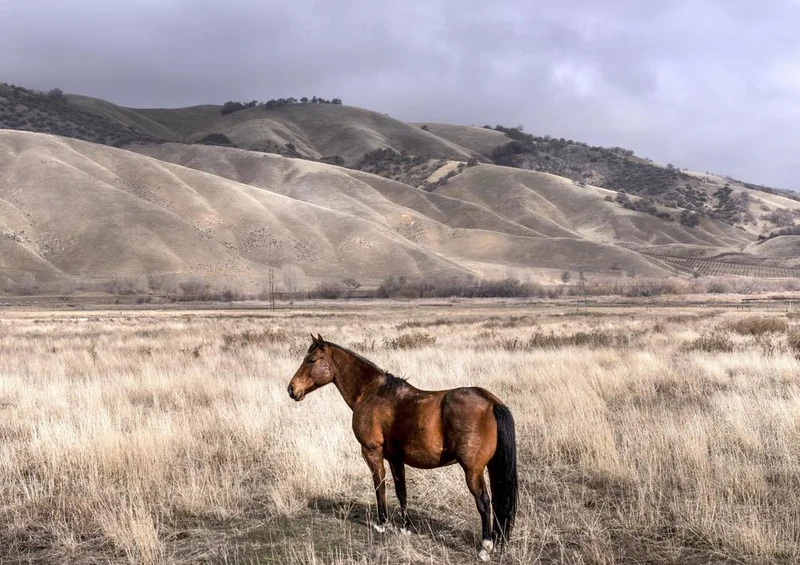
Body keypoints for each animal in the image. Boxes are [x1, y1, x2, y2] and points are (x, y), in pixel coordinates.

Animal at [287, 334, 517, 561]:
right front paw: (405, 527)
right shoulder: (395, 458)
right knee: (499, 501)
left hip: (473, 470)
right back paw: (499, 540)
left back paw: (485, 547)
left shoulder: (372, 452)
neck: (370, 392)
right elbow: (401, 491)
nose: (291, 389)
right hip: (492, 467)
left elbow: (380, 486)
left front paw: (381, 524)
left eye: (311, 360)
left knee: (484, 502)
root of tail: (491, 402)